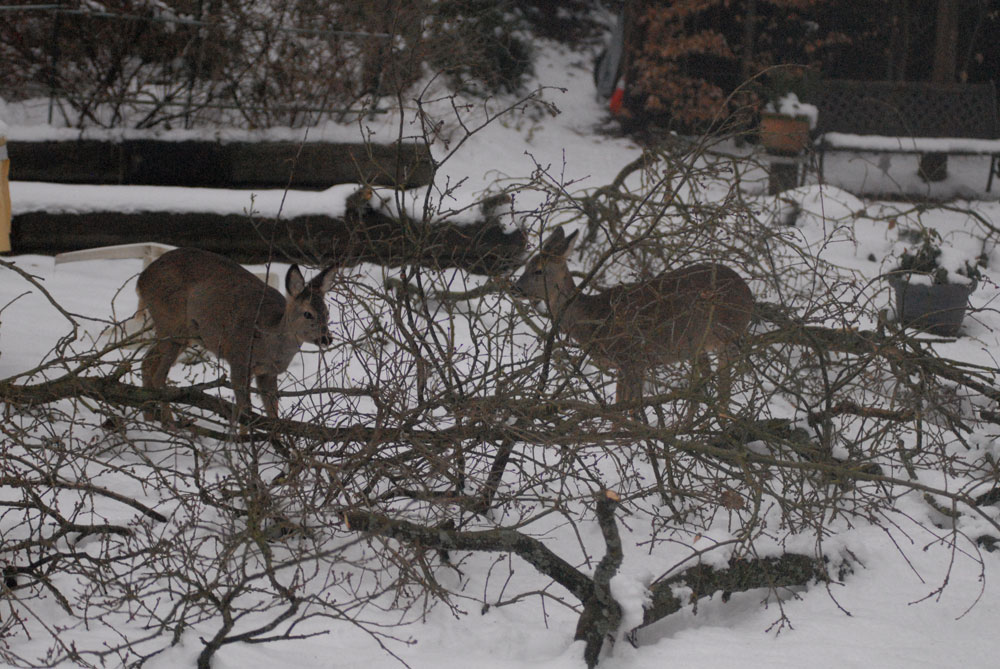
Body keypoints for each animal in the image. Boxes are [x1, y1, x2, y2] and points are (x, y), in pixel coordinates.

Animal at [137, 247, 340, 428]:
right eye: (308, 314)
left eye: (327, 312)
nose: (326, 339)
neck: (268, 342)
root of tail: (141, 281)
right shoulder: (239, 360)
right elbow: (246, 411)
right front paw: (246, 443)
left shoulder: (268, 373)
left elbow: (273, 415)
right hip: (172, 323)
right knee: (158, 374)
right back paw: (170, 423)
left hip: (180, 334)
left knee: (147, 362)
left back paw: (149, 419)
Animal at [516, 224, 752, 412]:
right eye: (525, 265)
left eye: (538, 270)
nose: (515, 287)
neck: (593, 318)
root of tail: (749, 293)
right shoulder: (625, 364)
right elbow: (621, 405)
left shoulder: (632, 356)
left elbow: (627, 407)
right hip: (696, 346)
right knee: (705, 386)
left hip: (726, 335)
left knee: (722, 389)